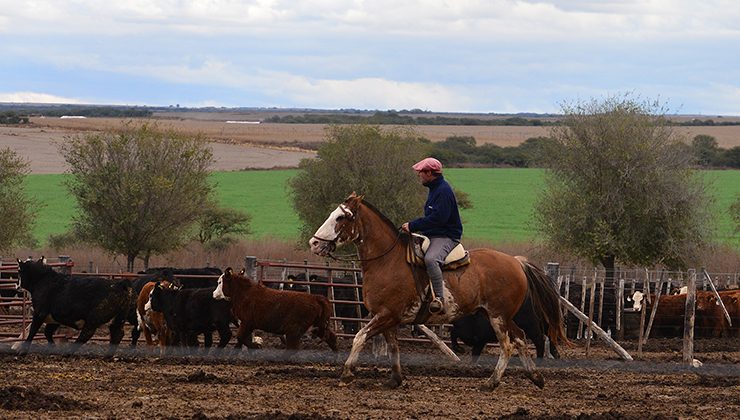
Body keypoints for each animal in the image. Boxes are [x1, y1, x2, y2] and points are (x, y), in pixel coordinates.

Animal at [308, 192, 568, 388]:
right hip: (501, 315)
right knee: (521, 339)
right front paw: (395, 379)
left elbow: (359, 337)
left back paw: (491, 383)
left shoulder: (386, 315)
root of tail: (516, 261)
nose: (314, 243)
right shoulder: (389, 319)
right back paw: (535, 377)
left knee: (507, 345)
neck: (387, 261)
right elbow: (393, 347)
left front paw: (347, 374)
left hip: (498, 316)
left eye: (341, 217)